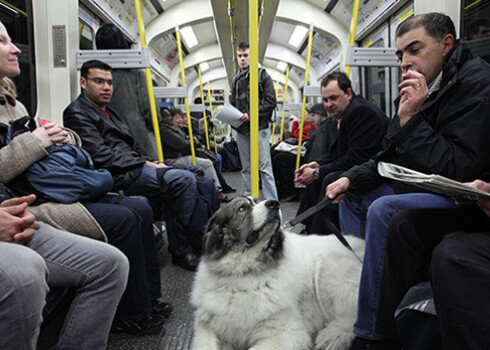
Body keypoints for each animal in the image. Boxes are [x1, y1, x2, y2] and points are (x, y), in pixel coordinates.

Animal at [191, 197, 364, 350]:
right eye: (242, 208)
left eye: (259, 200)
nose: (274, 203)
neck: (244, 272)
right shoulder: (207, 325)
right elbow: (204, 345)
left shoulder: (286, 333)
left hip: (327, 272)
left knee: (354, 317)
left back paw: (334, 334)